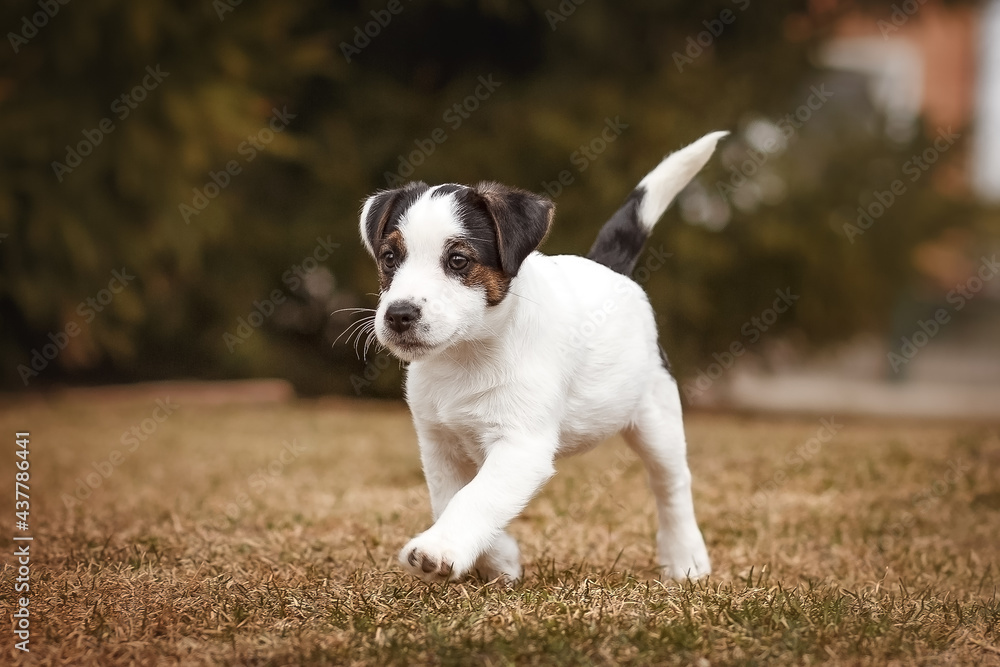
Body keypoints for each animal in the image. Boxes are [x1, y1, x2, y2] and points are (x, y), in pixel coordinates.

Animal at [358, 130, 728, 584]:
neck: (467, 354)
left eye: (458, 260)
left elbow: (477, 498)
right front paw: (499, 558)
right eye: (390, 258)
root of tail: (608, 269)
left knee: (672, 485)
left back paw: (685, 558)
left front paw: (438, 549)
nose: (399, 315)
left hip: (657, 418)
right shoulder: (439, 445)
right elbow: (452, 497)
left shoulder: (521, 446)